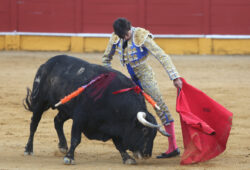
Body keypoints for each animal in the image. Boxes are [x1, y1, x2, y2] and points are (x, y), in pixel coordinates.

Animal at [23, 55, 162, 165]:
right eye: (144, 131)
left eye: (154, 134)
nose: (147, 154)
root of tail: (46, 64)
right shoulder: (80, 117)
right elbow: (76, 139)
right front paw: (69, 158)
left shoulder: (115, 125)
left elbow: (119, 144)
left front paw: (127, 158)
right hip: (40, 101)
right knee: (34, 124)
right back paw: (29, 149)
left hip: (66, 110)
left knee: (57, 121)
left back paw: (62, 146)